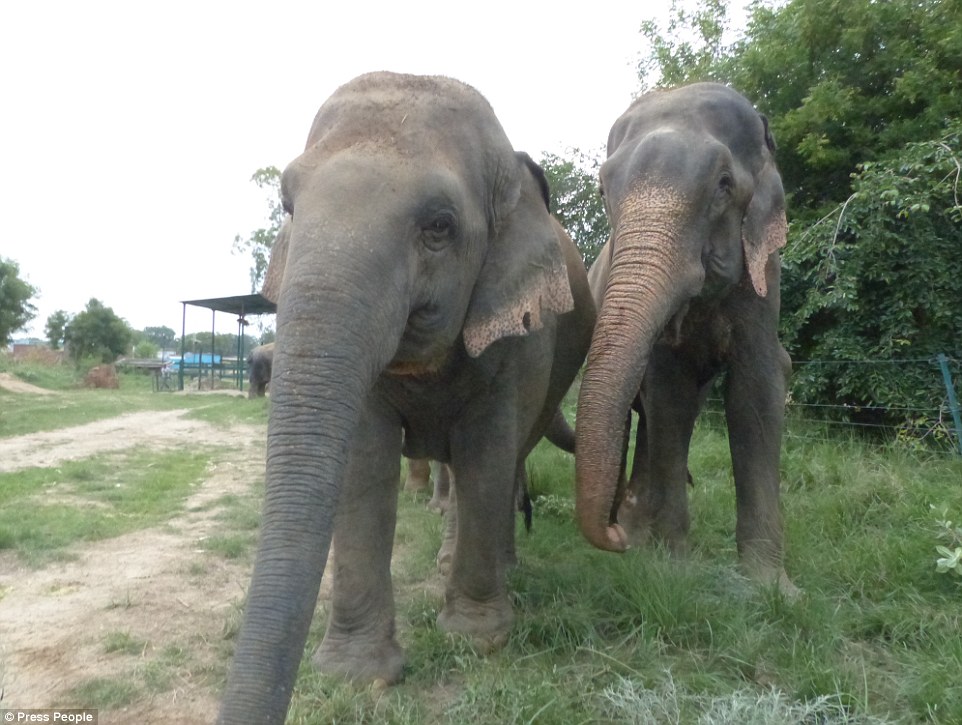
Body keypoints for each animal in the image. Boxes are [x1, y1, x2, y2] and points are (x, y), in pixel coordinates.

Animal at [219, 69, 592, 724]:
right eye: (287, 204)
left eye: (439, 227)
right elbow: (363, 465)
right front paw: (359, 676)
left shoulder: (523, 334)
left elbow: (487, 452)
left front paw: (479, 640)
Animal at [572, 83, 792, 592]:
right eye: (602, 190)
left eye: (724, 185)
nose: (611, 538)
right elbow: (668, 394)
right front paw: (672, 567)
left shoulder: (763, 279)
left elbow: (756, 393)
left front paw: (772, 587)